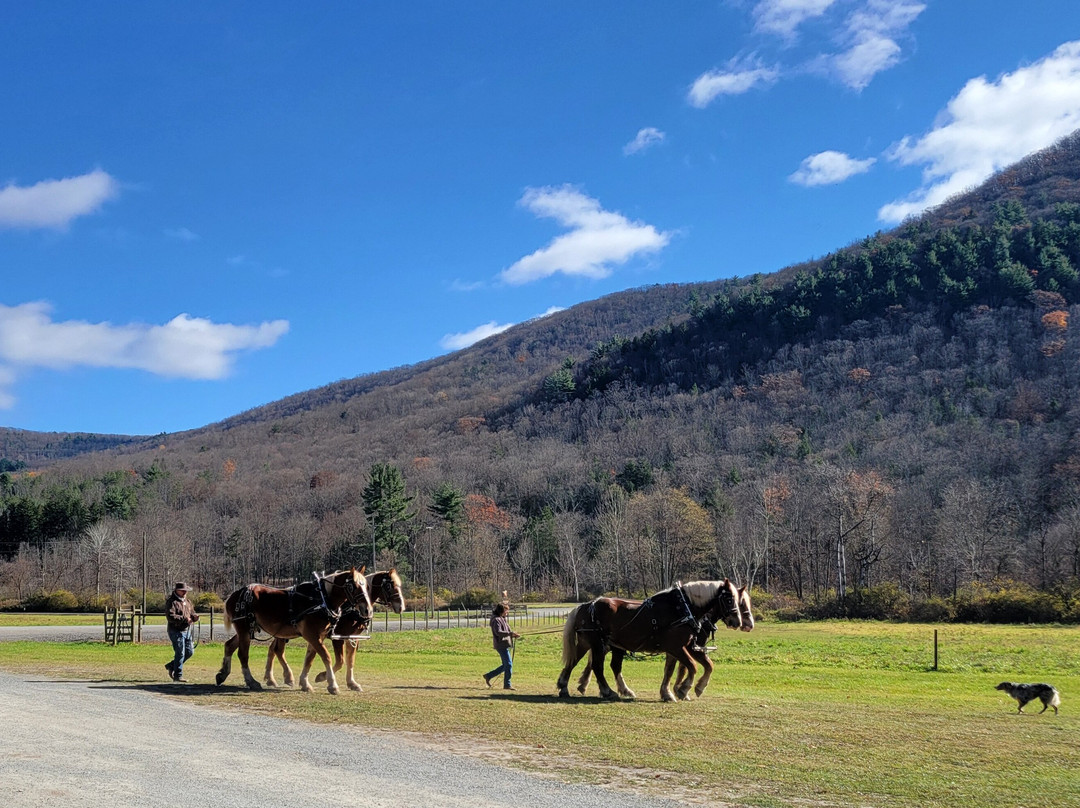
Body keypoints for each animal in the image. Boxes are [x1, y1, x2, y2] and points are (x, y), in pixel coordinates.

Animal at [214, 566, 371, 695]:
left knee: (229, 646)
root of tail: (234, 594)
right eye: (353, 586)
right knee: (243, 655)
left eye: (367, 586)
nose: (367, 610)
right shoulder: (312, 635)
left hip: (246, 630)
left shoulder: (317, 636)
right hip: (244, 629)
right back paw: (251, 681)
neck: (322, 598)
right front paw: (332, 685)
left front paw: (305, 684)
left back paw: (222, 674)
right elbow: (326, 657)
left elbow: (309, 659)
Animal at [263, 566, 406, 691]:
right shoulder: (338, 637)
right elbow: (340, 661)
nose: (401, 607)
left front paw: (352, 683)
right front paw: (322, 676)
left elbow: (350, 660)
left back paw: (270, 678)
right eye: (389, 585)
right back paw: (287, 677)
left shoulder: (352, 637)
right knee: (278, 650)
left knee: (272, 649)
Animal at [557, 578, 743, 699]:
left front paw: (693, 688)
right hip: (597, 643)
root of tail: (586, 605)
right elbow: (692, 666)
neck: (682, 608)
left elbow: (706, 665)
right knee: (597, 666)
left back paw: (565, 686)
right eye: (729, 599)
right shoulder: (676, 647)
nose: (737, 621)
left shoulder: (689, 646)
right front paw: (683, 689)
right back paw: (607, 691)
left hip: (590, 643)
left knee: (577, 661)